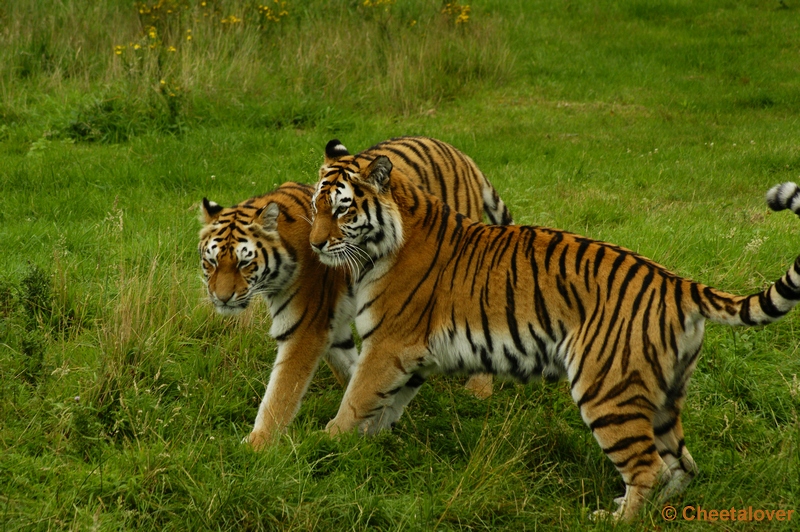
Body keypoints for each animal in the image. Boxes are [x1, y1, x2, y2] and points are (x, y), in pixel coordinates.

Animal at [199, 135, 512, 446]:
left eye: (244, 263)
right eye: (211, 262)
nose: (221, 298)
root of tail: (461, 155)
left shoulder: (304, 328)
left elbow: (281, 392)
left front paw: (257, 445)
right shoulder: (332, 325)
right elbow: (353, 370)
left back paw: (478, 389)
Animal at [310, 148, 800, 520]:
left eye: (342, 207)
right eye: (315, 207)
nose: (314, 245)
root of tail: (676, 282)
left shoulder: (388, 345)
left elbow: (356, 400)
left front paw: (326, 444)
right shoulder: (410, 358)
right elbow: (384, 408)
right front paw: (366, 448)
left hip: (606, 389)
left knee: (651, 467)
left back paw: (615, 519)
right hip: (663, 394)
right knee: (682, 465)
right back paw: (650, 510)